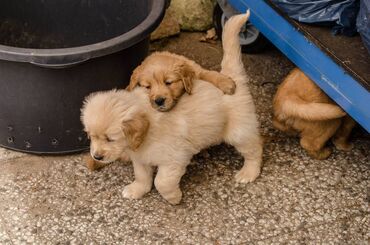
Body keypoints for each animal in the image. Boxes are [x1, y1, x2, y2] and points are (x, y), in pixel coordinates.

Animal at [80, 12, 262, 205]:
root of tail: (230, 75)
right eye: (90, 136)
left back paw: (248, 172)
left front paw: (174, 198)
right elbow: (142, 176)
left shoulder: (174, 158)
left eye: (110, 139)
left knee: (255, 148)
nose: (96, 156)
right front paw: (137, 189)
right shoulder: (141, 159)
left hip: (239, 131)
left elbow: (162, 181)